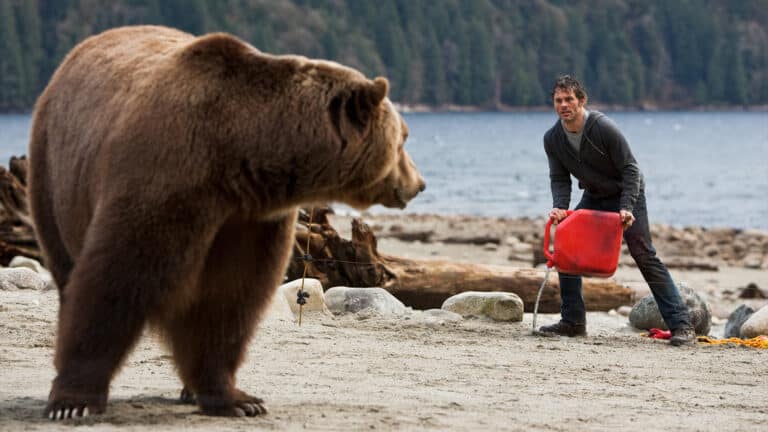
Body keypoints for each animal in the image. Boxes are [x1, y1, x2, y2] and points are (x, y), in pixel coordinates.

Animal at [28, 25, 425, 420]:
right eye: (404, 136)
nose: (418, 182)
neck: (237, 153)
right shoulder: (166, 176)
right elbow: (115, 280)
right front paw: (73, 401)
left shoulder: (248, 220)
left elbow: (228, 299)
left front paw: (237, 398)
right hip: (53, 176)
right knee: (67, 270)